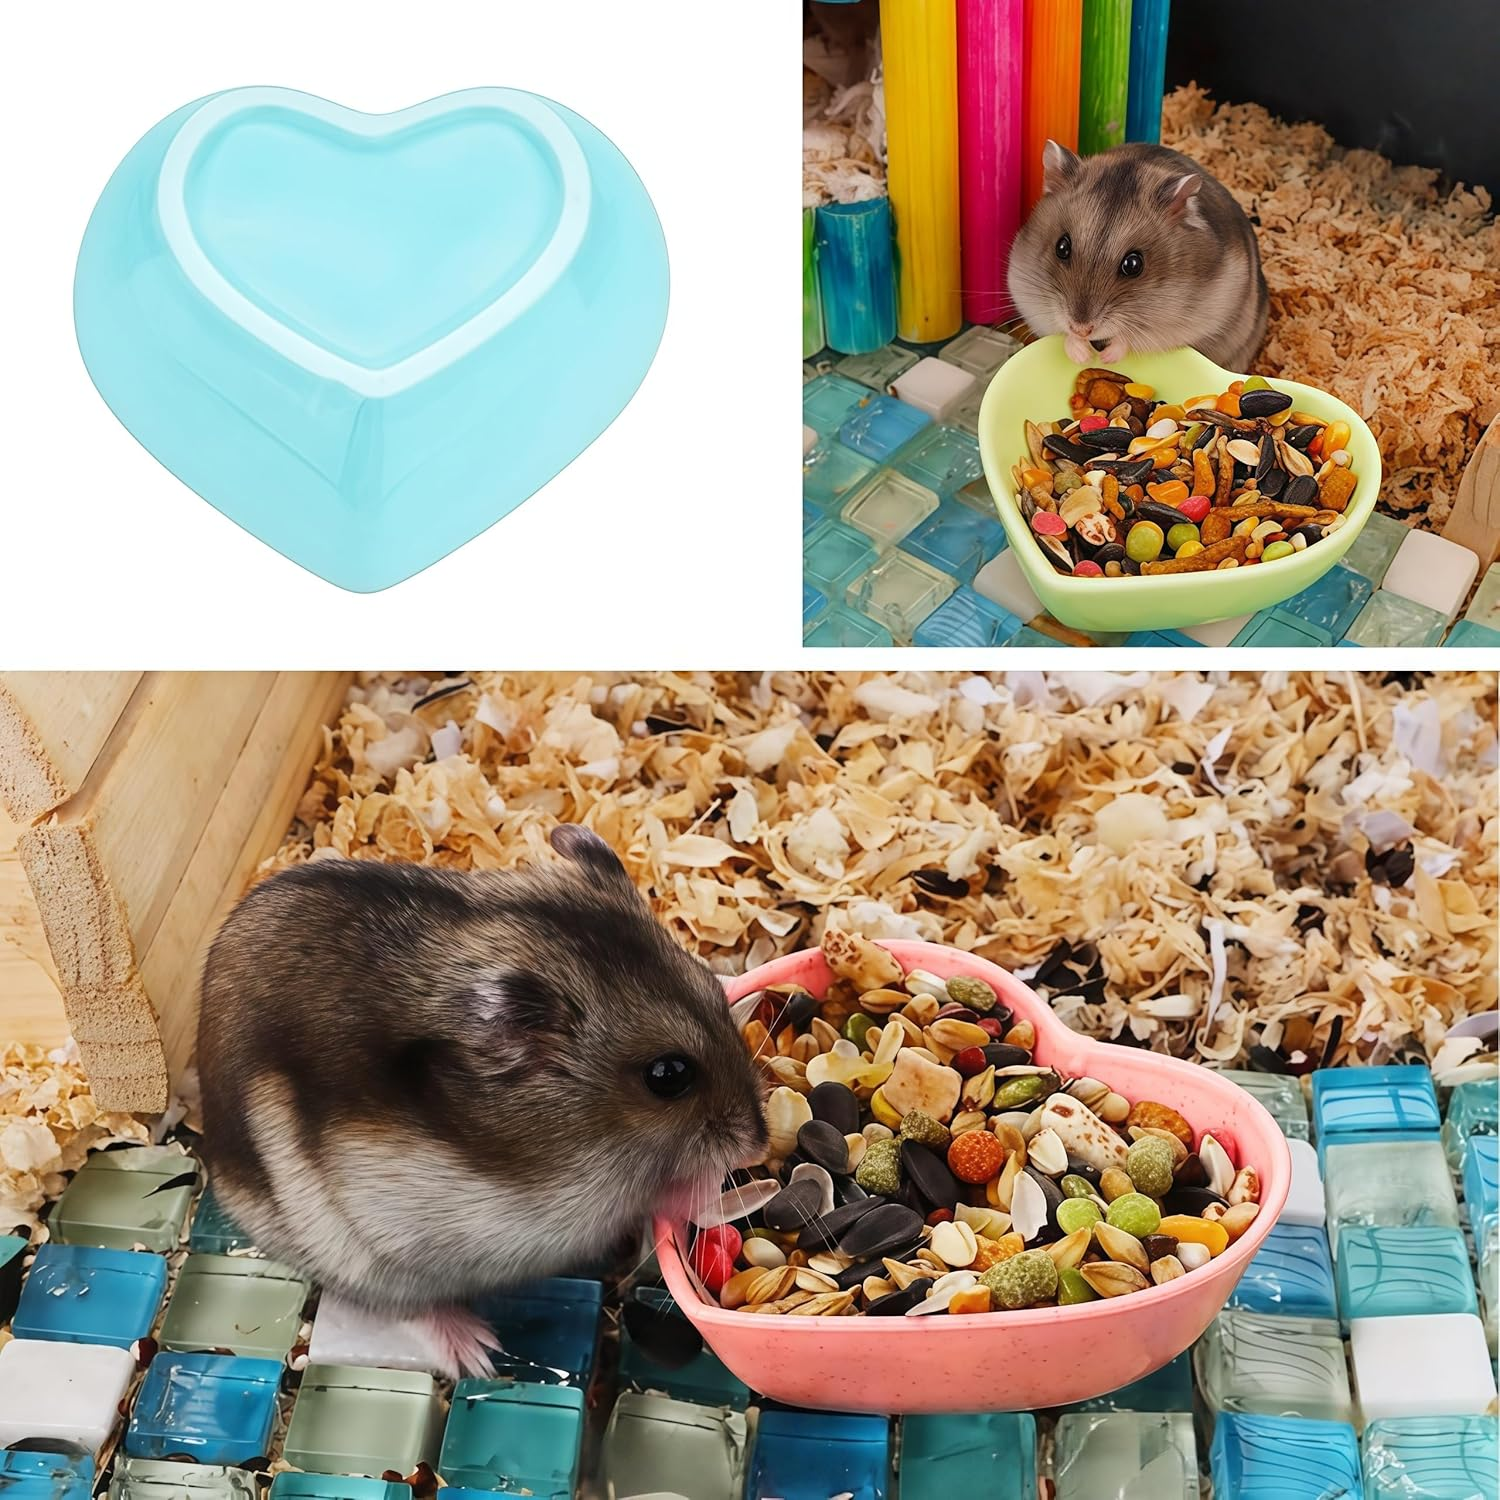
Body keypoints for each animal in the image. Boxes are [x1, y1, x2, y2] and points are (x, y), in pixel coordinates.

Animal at [196, 825, 768, 1378]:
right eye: (667, 1076)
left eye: (713, 993)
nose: (759, 1145)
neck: (593, 1136)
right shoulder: (549, 1217)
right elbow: (650, 1198)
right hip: (356, 1257)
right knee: (398, 1305)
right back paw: (478, 1351)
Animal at [1008, 141, 1269, 373]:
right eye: (1061, 247)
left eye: (1133, 264)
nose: (1081, 329)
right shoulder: (1026, 292)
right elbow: (1059, 332)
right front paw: (1082, 355)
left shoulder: (1185, 322)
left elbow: (1132, 338)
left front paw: (1106, 357)